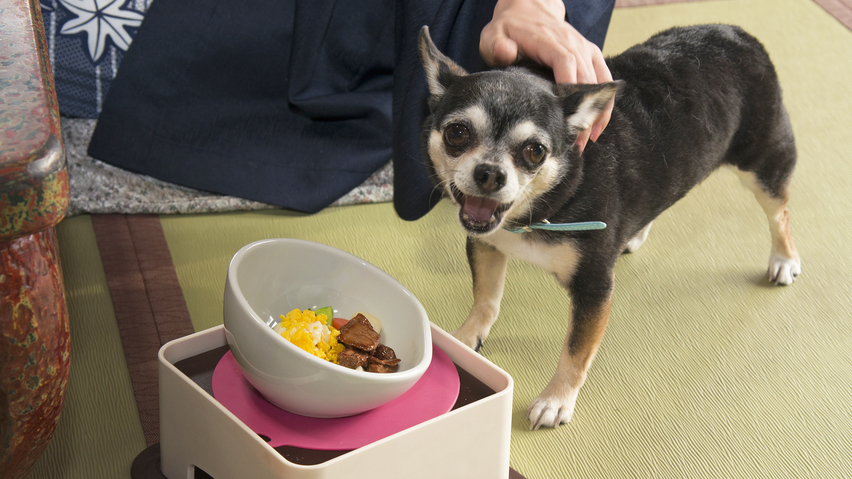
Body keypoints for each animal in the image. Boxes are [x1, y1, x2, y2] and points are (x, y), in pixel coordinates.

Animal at [420, 24, 800, 432]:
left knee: (781, 213)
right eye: (458, 133)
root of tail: (737, 32)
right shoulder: (487, 244)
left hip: (762, 165)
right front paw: (465, 340)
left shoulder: (595, 286)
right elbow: (485, 300)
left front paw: (556, 400)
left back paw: (784, 259)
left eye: (535, 152)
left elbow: (576, 351)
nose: (490, 173)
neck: (536, 210)